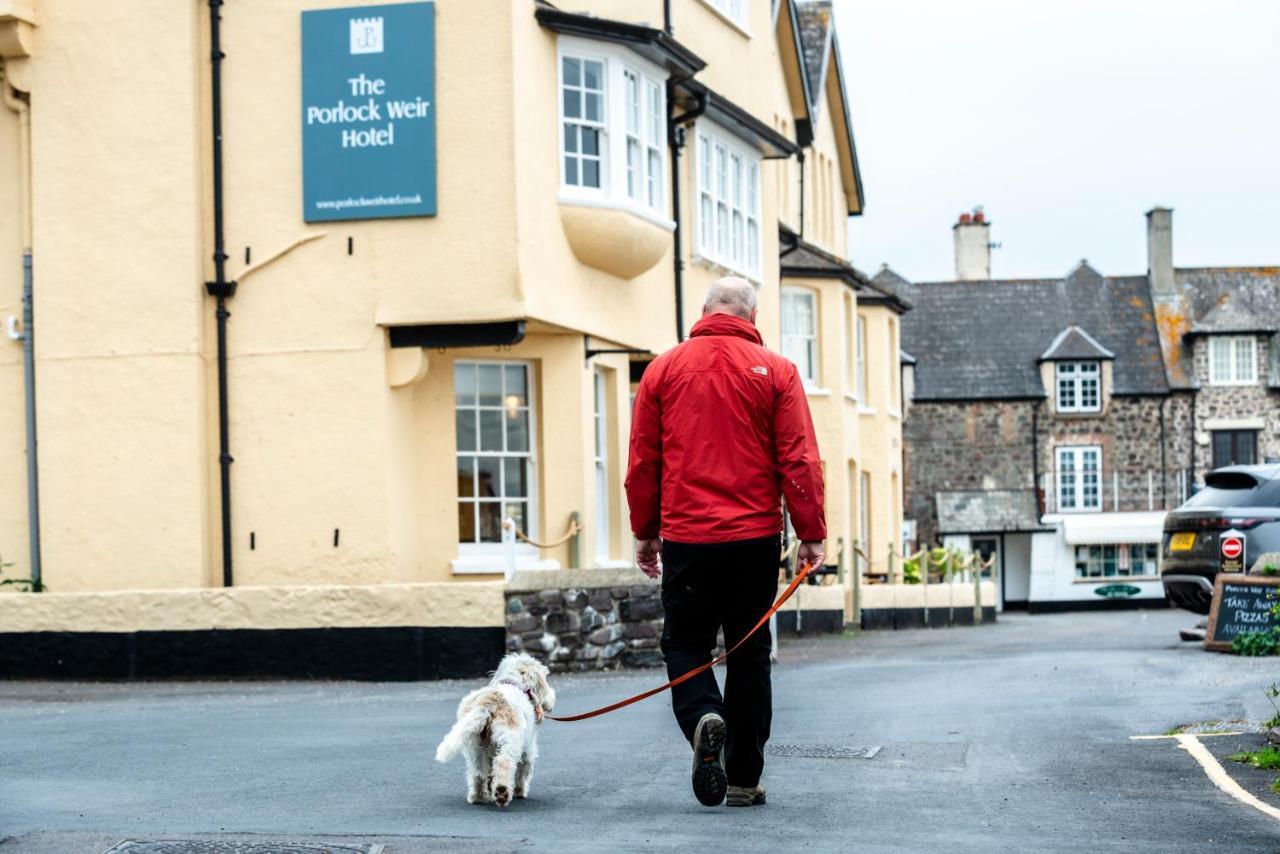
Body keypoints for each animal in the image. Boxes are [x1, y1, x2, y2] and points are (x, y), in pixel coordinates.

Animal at [435, 655, 555, 809]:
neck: (514, 683)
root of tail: (488, 702)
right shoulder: (528, 749)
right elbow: (523, 770)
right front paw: (520, 791)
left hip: (474, 746)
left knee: (478, 772)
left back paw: (478, 797)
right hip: (510, 741)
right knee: (504, 762)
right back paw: (502, 791)